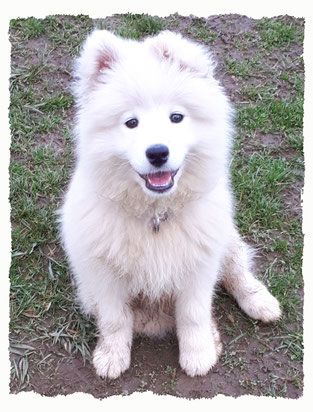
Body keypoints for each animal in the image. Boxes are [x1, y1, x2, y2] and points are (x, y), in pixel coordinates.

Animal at [58, 29, 280, 380]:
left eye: (176, 117)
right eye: (130, 123)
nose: (158, 152)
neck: (155, 216)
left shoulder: (198, 267)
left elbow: (193, 315)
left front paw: (198, 355)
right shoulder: (104, 274)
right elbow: (115, 319)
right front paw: (111, 357)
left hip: (225, 239)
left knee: (237, 272)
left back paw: (260, 303)